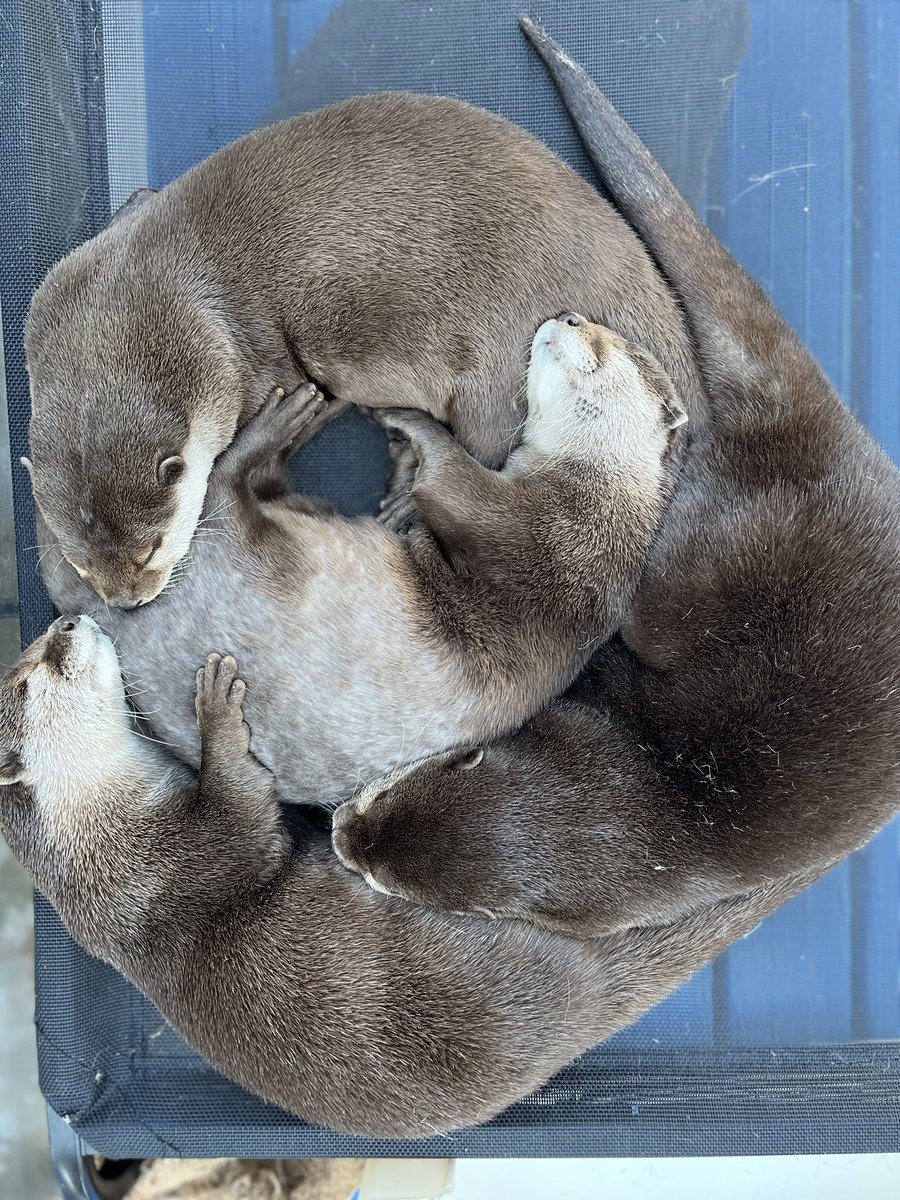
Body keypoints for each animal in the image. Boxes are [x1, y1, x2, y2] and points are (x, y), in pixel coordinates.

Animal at [0, 615, 826, 1136]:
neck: (111, 849)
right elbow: (241, 805)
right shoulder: (181, 859)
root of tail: (581, 1010)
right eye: (35, 674)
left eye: (35, 652)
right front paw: (216, 709)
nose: (67, 620)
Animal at [23, 91, 705, 608]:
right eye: (79, 565)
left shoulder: (253, 360)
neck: (150, 287)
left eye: (152, 549)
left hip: (495, 381)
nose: (126, 601)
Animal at [34, 317, 684, 805]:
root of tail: (111, 615)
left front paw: (408, 421)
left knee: (222, 488)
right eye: (594, 326)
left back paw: (282, 424)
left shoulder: (529, 529)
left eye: (613, 346)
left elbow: (449, 474)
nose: (570, 317)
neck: (598, 509)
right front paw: (400, 480)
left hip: (252, 559)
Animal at [327, 21, 900, 937]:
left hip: (715, 551)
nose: (342, 833)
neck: (649, 800)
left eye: (388, 879)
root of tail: (831, 433)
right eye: (388, 794)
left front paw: (417, 442)